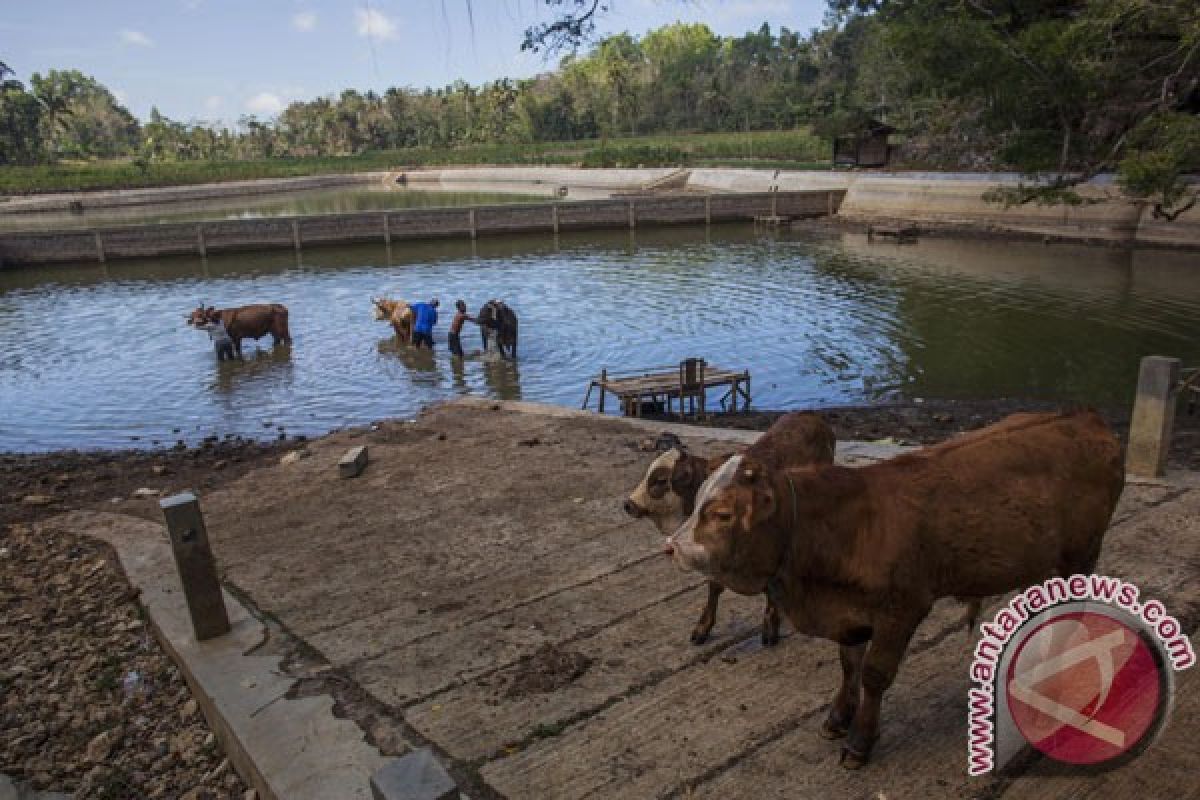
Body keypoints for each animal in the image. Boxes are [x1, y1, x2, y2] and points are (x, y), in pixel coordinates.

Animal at [667, 412, 1123, 767]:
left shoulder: (902, 609)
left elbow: (874, 674)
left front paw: (860, 741)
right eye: (698, 500)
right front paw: (839, 716)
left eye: (723, 514)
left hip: (1081, 556)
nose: (671, 546)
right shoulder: (849, 614)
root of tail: (1085, 417)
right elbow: (848, 665)